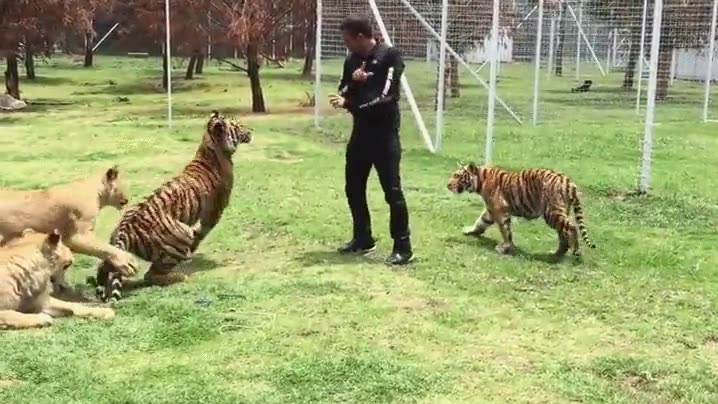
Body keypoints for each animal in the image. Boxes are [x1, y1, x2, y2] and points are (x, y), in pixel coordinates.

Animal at [87, 111, 252, 302]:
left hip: (114, 247)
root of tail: (125, 229)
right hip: (182, 234)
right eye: (238, 126)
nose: (251, 131)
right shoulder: (214, 211)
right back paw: (179, 276)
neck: (209, 146)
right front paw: (192, 252)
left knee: (104, 264)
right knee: (150, 276)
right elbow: (201, 233)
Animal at [447, 162, 595, 258]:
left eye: (457, 176)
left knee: (572, 227)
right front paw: (470, 231)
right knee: (563, 233)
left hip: (552, 213)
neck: (480, 181)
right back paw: (557, 253)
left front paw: (505, 247)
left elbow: (505, 231)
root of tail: (569, 182)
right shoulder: (490, 210)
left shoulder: (500, 210)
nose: (448, 184)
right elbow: (481, 221)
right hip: (561, 212)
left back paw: (575, 251)